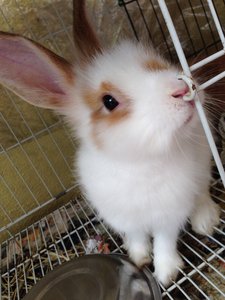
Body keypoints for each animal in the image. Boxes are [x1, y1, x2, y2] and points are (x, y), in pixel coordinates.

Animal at [0, 0, 221, 286]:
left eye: (156, 63)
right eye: (109, 101)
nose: (183, 90)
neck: (138, 162)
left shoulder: (169, 215)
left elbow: (164, 243)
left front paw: (165, 274)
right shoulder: (125, 218)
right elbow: (138, 238)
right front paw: (138, 258)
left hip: (204, 162)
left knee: (203, 190)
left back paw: (205, 220)